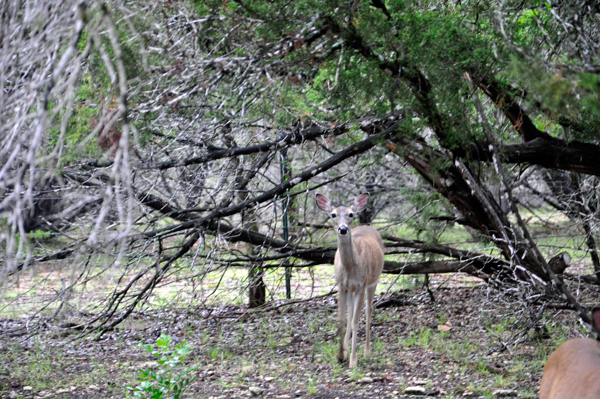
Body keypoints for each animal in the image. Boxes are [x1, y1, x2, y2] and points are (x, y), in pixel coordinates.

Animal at [314, 193, 384, 368]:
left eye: (351, 214)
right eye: (333, 214)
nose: (343, 229)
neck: (351, 267)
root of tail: (369, 227)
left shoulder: (361, 285)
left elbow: (355, 321)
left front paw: (353, 361)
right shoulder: (341, 286)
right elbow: (342, 320)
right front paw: (340, 355)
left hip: (373, 281)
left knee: (369, 310)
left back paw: (366, 352)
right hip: (352, 289)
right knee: (351, 313)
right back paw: (346, 351)